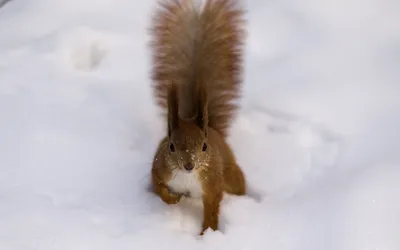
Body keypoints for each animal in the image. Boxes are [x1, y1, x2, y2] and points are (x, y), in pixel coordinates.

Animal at [148, 0, 245, 236]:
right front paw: (172, 200)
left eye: (204, 146)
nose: (189, 165)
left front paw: (207, 233)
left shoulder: (212, 184)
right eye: (171, 146)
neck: (187, 177)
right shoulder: (159, 169)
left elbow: (212, 208)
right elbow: (158, 187)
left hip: (230, 174)